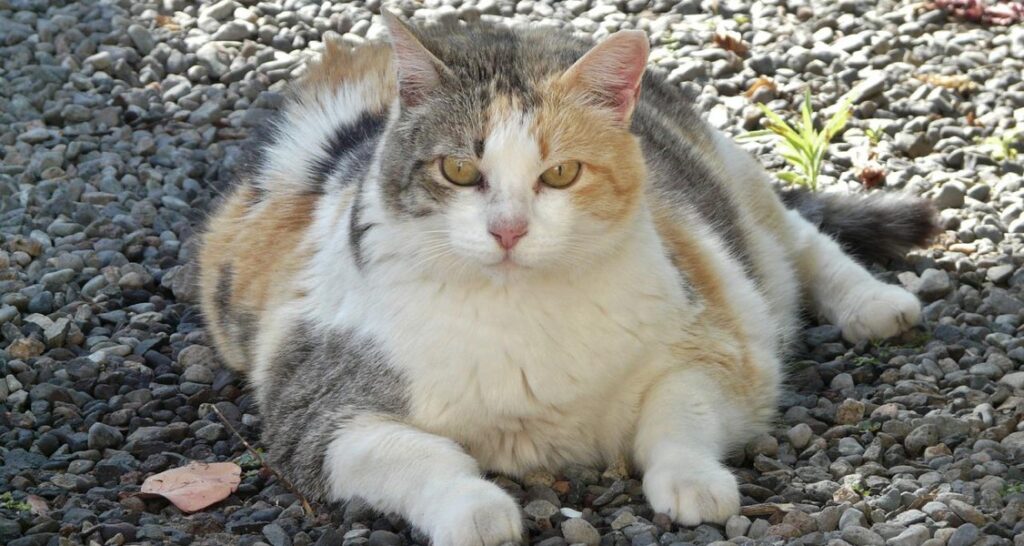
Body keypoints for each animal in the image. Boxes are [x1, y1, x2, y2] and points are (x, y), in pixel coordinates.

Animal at [195, 10, 937, 540]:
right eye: (458, 170)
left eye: (560, 174)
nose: (508, 229)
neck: (518, 312)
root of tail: (491, 24)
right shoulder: (314, 414)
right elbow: (419, 457)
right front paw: (477, 510)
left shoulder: (723, 347)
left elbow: (677, 413)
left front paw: (693, 482)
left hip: (734, 190)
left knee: (798, 239)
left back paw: (874, 304)